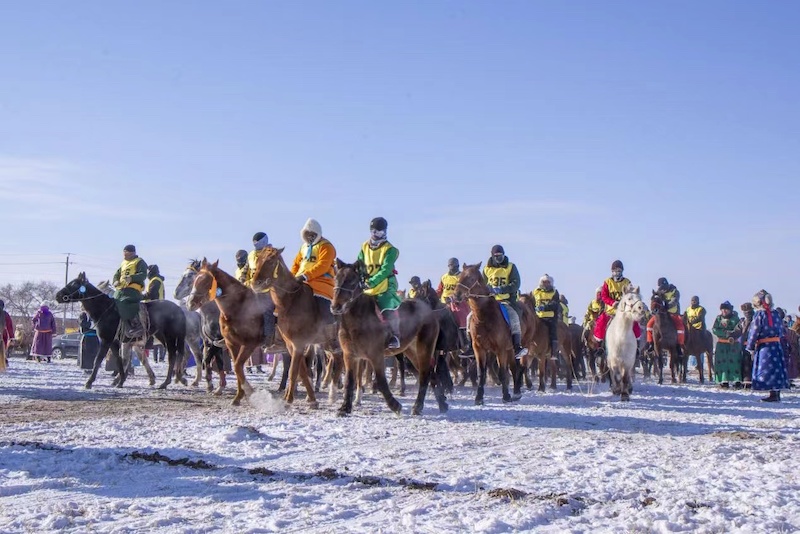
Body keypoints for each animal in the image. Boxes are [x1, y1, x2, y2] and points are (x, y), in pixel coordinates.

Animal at [56, 272, 186, 390]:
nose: (57, 295)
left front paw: (89, 382)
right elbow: (120, 360)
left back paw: (167, 382)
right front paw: (121, 380)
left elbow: (98, 360)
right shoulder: (116, 342)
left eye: (74, 284)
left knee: (172, 356)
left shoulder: (107, 341)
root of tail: (179, 309)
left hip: (170, 338)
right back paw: (175, 379)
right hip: (163, 338)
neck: (107, 310)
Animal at [174, 261, 229, 394]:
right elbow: (215, 362)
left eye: (190, 275)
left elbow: (207, 360)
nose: (176, 293)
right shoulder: (209, 341)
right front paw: (217, 387)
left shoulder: (217, 342)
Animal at [330, 259, 444, 416]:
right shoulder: (350, 356)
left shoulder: (376, 355)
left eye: (352, 281)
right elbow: (349, 380)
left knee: (424, 375)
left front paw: (395, 405)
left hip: (424, 349)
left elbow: (381, 381)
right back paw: (442, 404)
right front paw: (344, 408)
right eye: (336, 279)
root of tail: (429, 310)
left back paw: (417, 406)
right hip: (411, 351)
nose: (336, 307)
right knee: (428, 372)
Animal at [452, 262, 523, 404]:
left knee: (513, 368)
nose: (456, 295)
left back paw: (516, 393)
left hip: (510, 349)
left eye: (471, 278)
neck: (484, 317)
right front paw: (479, 397)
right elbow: (481, 373)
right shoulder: (479, 348)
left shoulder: (501, 349)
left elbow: (502, 372)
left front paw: (506, 396)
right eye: (459, 277)